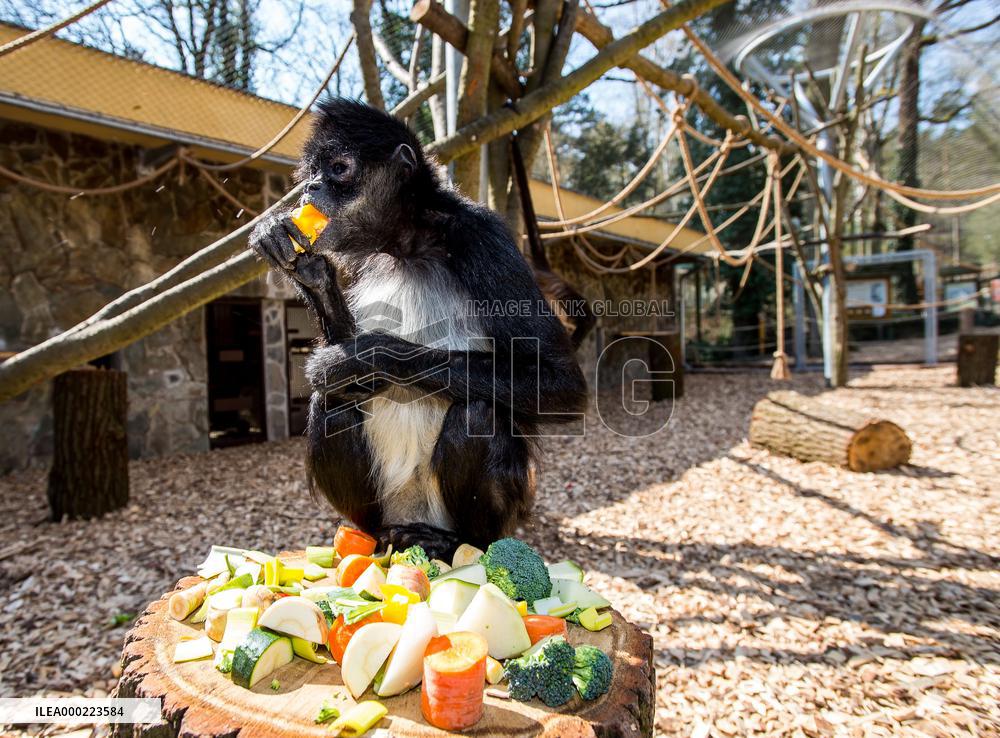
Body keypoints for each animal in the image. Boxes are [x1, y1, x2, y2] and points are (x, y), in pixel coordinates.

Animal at [249, 99, 587, 560]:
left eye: (338, 169)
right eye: (314, 172)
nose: (310, 189)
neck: (403, 244)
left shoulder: (481, 235)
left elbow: (561, 382)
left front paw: (369, 358)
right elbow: (343, 378)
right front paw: (307, 269)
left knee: (477, 411)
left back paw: (461, 543)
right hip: (380, 506)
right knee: (331, 400)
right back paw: (366, 539)